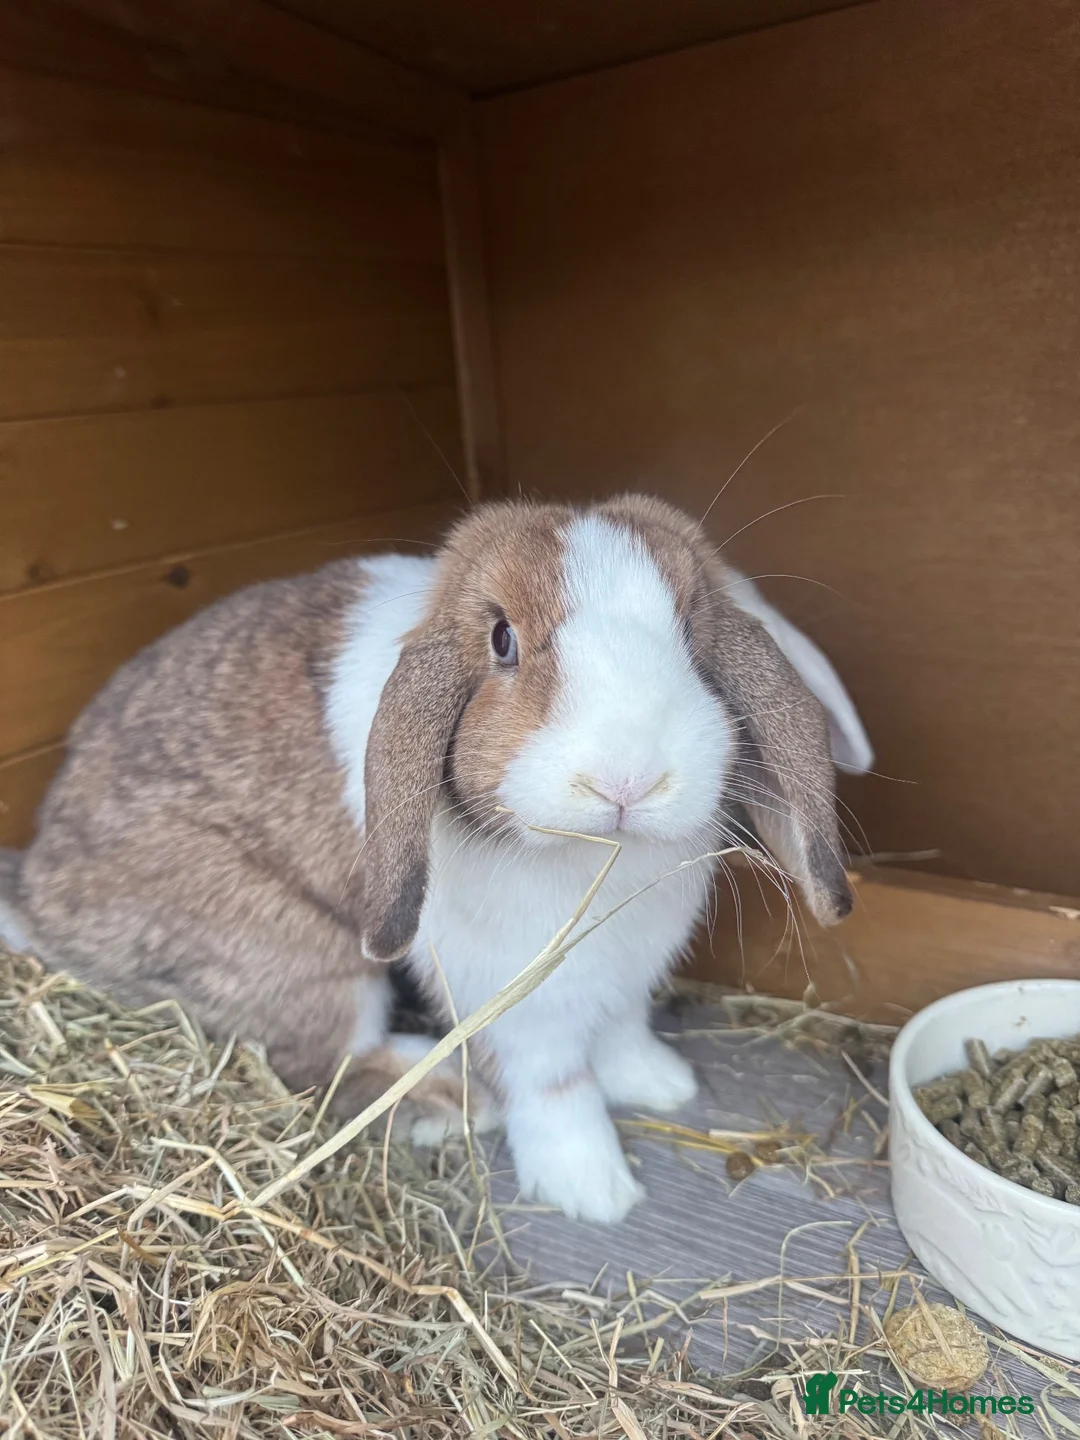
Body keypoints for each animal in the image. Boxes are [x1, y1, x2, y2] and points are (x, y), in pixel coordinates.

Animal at [0, 493, 871, 1223]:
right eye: (502, 641)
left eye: (692, 632)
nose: (628, 777)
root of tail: (39, 895)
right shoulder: (517, 1000)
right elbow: (555, 1085)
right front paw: (593, 1192)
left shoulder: (626, 969)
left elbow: (622, 1029)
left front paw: (660, 1083)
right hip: (302, 959)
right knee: (327, 1063)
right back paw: (445, 1098)